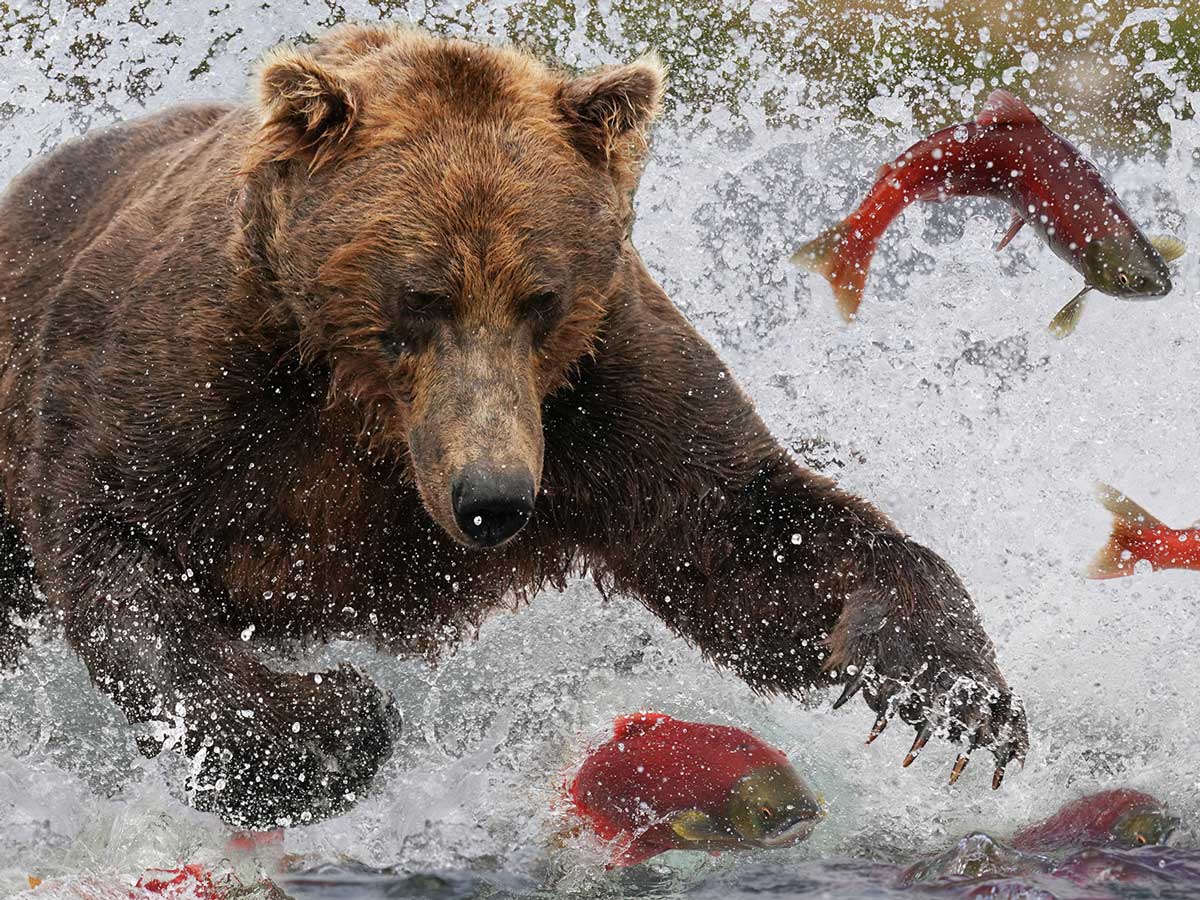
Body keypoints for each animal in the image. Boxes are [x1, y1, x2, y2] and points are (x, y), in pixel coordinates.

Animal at [0, 24, 1026, 828]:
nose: (493, 499)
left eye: (541, 298)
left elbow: (746, 534)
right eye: (420, 296)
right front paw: (325, 727)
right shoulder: (195, 377)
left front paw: (952, 690)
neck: (360, 414)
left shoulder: (601, 393)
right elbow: (117, 543)